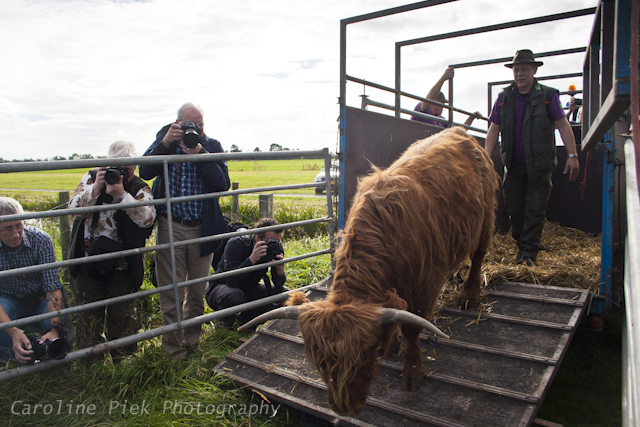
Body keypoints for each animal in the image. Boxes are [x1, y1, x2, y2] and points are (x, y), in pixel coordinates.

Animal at [239, 126, 500, 414]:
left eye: (367, 354)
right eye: (319, 360)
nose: (343, 408)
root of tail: (460, 132)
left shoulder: (424, 285)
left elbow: (413, 327)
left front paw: (412, 372)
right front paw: (394, 344)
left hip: (485, 220)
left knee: (477, 257)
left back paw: (469, 296)